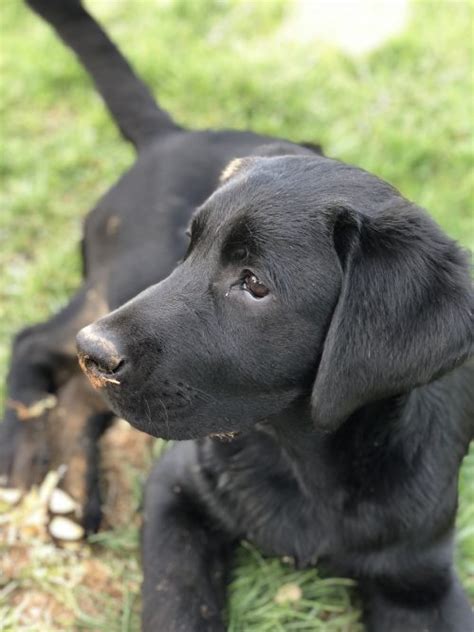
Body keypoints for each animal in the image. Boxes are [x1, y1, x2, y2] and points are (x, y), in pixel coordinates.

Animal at [1, 1, 472, 632]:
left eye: (254, 284)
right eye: (190, 247)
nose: (96, 351)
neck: (306, 462)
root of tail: (171, 134)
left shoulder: (421, 578)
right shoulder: (176, 491)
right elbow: (179, 603)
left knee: (78, 387)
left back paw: (72, 499)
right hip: (122, 278)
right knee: (35, 341)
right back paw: (21, 454)